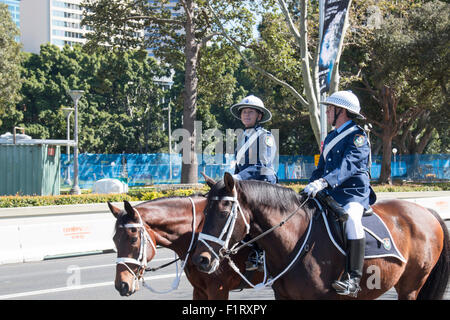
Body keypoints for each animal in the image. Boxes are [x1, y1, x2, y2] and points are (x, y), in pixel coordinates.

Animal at [192, 172, 448, 300]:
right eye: (204, 211)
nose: (201, 259)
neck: (295, 240)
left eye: (224, 211)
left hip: (410, 287)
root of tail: (427, 211)